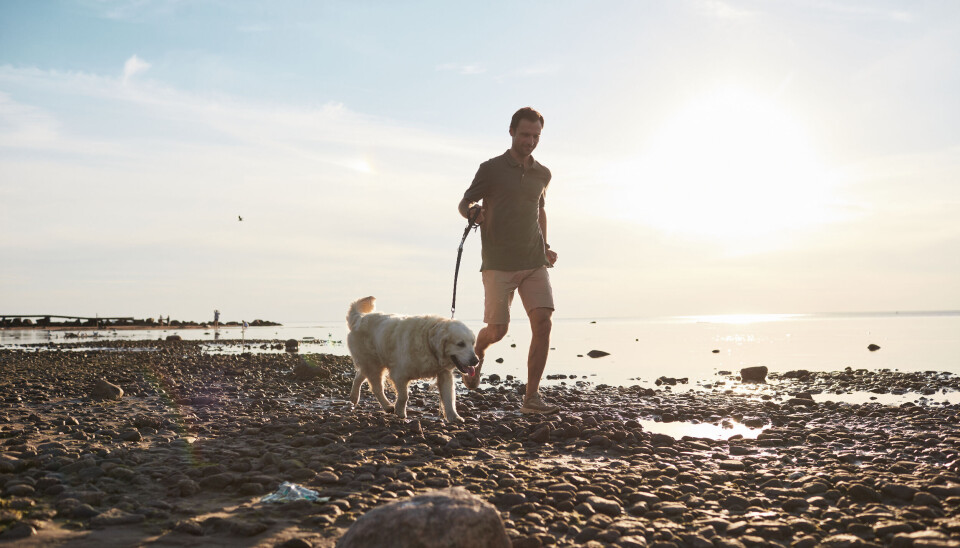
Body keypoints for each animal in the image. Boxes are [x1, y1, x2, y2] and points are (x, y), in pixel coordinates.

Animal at [346, 298, 478, 422]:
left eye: (472, 343)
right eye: (460, 344)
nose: (476, 361)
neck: (427, 341)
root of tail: (360, 318)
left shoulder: (444, 373)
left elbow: (449, 397)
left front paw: (454, 417)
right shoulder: (399, 374)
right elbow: (404, 396)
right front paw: (400, 411)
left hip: (372, 363)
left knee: (359, 375)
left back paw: (354, 397)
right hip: (373, 364)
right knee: (376, 387)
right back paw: (388, 406)